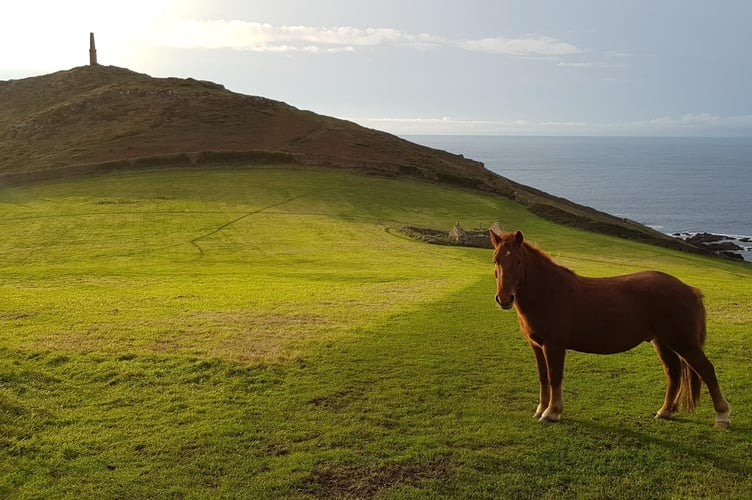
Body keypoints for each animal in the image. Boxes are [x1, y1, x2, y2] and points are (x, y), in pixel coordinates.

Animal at [489, 229, 731, 428]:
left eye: (518, 261)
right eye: (496, 260)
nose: (504, 299)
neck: (548, 292)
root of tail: (689, 289)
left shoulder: (554, 345)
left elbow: (554, 377)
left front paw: (552, 412)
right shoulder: (537, 346)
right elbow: (543, 377)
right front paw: (541, 409)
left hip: (684, 343)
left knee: (707, 370)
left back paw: (722, 417)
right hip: (663, 342)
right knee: (673, 372)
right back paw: (665, 411)